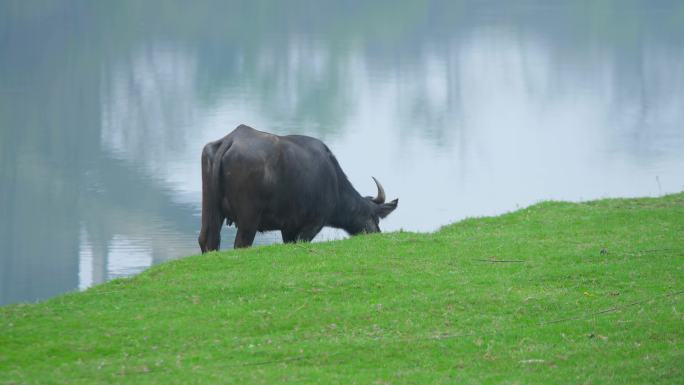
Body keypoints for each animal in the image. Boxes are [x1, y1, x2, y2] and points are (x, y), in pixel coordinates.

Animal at [198, 124, 398, 250]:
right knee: (241, 243)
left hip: (211, 211)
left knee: (207, 240)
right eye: (374, 217)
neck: (334, 182)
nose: (377, 233)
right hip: (249, 219)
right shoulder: (312, 224)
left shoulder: (288, 228)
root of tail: (230, 139)